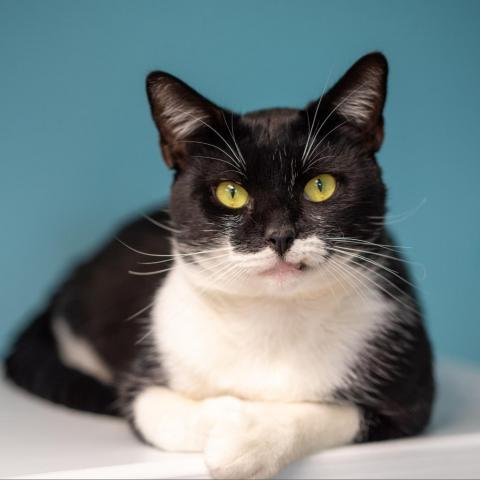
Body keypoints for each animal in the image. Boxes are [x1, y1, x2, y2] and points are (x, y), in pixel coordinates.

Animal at [3, 52, 434, 480]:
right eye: (231, 193)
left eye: (320, 186)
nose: (279, 235)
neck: (273, 320)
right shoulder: (148, 376)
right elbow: (160, 410)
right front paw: (231, 417)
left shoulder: (409, 397)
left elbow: (323, 413)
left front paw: (248, 442)